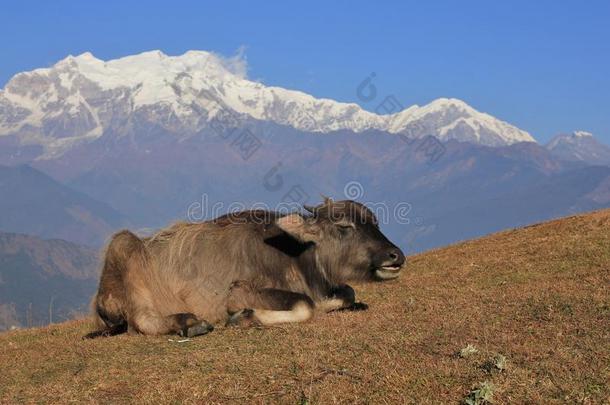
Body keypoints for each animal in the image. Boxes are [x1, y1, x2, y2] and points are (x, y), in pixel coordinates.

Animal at [83, 197, 402, 336]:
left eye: (375, 222)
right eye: (344, 226)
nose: (395, 256)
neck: (295, 256)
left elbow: (346, 292)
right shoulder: (240, 291)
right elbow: (305, 305)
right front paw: (246, 317)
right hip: (123, 246)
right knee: (141, 321)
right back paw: (190, 323)